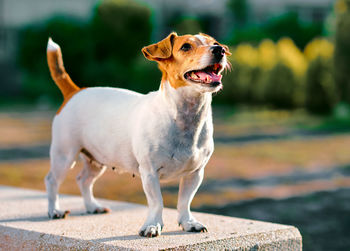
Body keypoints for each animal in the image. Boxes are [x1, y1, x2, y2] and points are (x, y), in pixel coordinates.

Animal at [45, 31, 231, 237]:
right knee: (52, 181)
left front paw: (188, 222)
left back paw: (92, 206)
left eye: (215, 42)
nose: (219, 50)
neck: (183, 116)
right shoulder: (149, 173)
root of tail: (74, 91)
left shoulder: (195, 174)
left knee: (83, 180)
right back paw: (54, 210)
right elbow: (157, 202)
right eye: (185, 47)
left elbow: (185, 201)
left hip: (96, 159)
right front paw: (152, 225)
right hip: (64, 156)